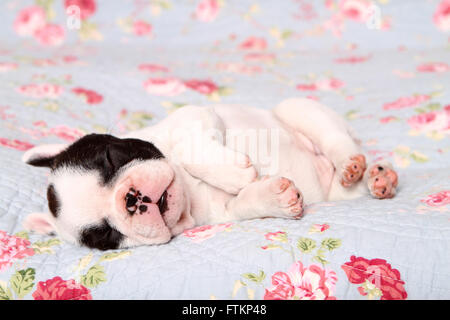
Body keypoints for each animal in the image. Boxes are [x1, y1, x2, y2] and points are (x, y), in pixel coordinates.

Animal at [22, 97, 400, 250]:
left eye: (111, 159)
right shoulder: (223, 215)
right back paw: (375, 179)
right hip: (338, 192)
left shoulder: (195, 115)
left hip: (300, 110)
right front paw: (274, 197)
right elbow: (246, 204)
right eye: (105, 235)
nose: (132, 198)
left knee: (337, 142)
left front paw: (234, 173)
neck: (190, 193)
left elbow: (188, 147)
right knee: (348, 186)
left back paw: (355, 166)